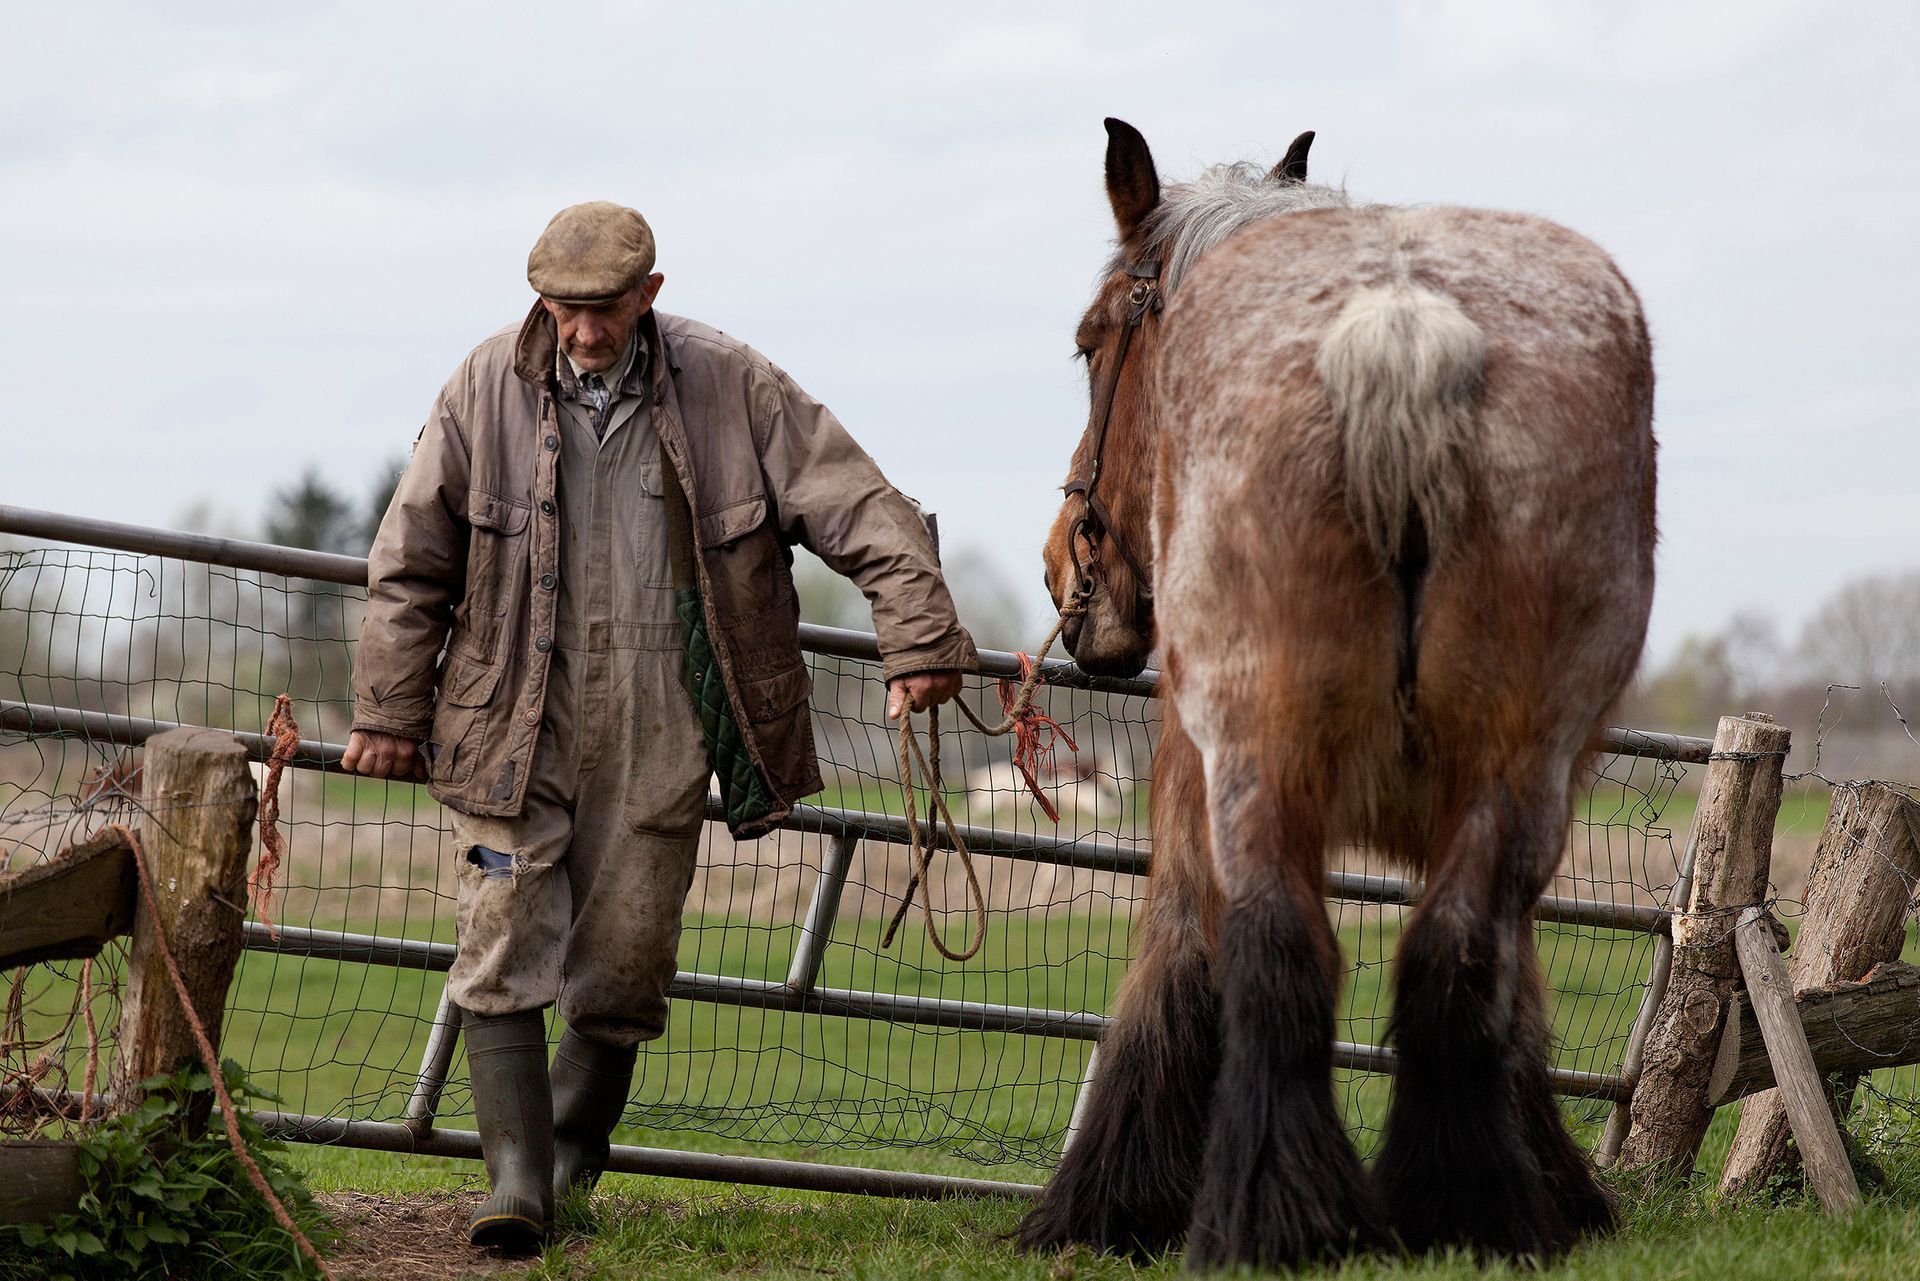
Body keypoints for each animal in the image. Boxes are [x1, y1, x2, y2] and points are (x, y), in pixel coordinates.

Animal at [1016, 119, 1654, 1269]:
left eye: (1091, 344)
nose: (1064, 569)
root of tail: (1398, 330)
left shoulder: (1190, 770)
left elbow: (1179, 952)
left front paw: (1112, 1195)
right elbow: (1519, 986)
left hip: (1260, 757)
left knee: (1279, 948)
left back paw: (1271, 1220)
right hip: (1518, 767)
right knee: (1457, 954)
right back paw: (1467, 1210)